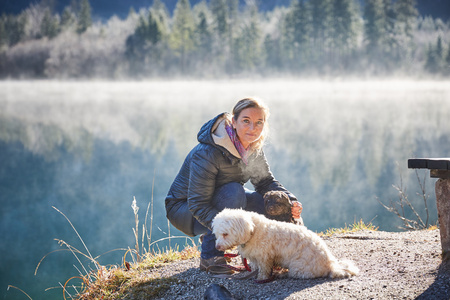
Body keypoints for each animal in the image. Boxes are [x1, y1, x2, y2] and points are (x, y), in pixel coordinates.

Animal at [212, 209, 358, 282]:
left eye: (225, 234)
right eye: (217, 234)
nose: (217, 247)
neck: (252, 230)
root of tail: (330, 264)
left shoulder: (265, 257)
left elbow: (263, 270)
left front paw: (261, 278)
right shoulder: (256, 256)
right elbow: (255, 266)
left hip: (299, 267)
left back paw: (282, 274)